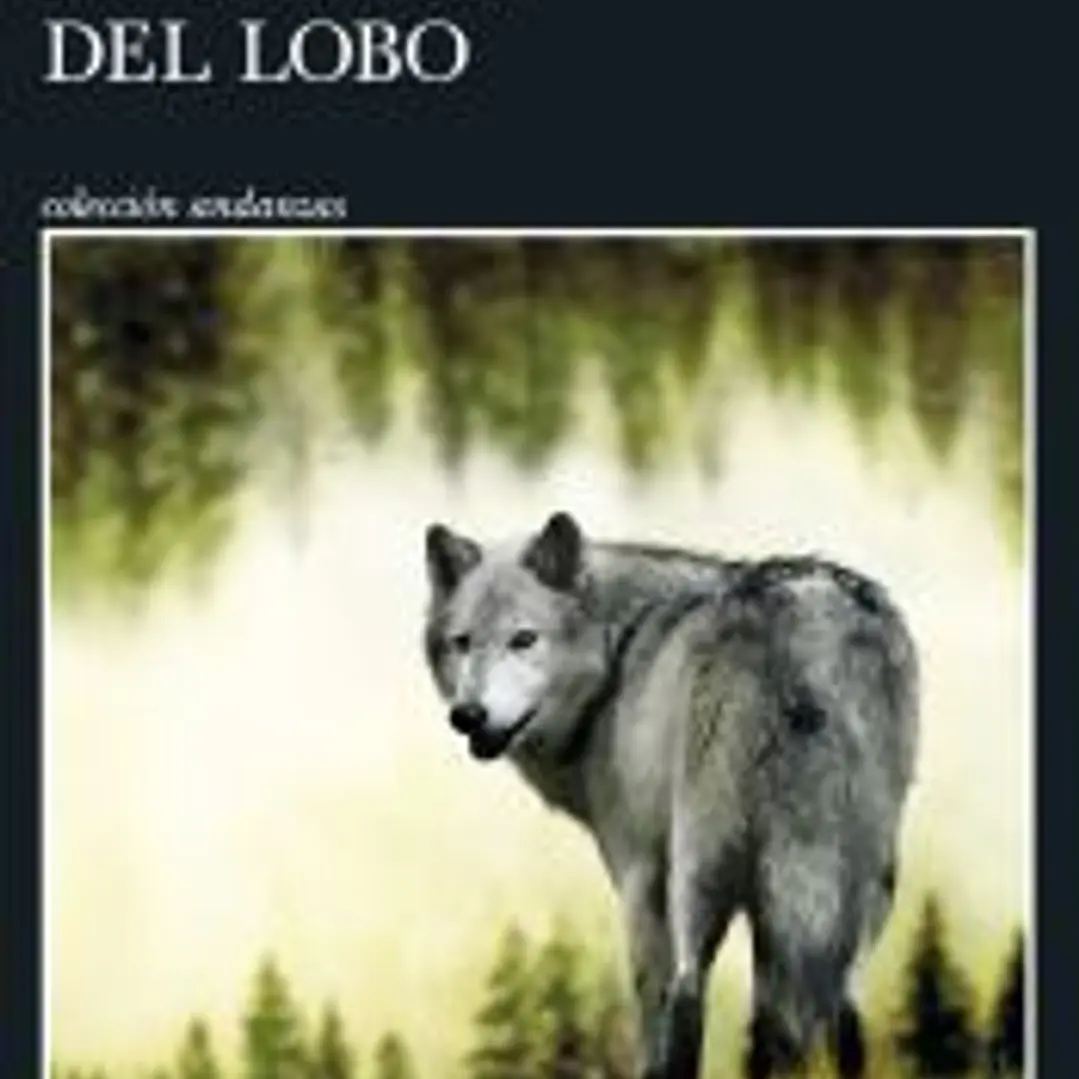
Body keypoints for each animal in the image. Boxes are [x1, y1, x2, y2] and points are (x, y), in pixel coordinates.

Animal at [422, 512, 919, 1079]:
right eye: (461, 642)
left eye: (524, 639)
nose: (467, 715)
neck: (617, 656)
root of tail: (803, 623)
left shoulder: (638, 873)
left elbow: (652, 1005)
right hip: (862, 884)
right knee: (841, 1009)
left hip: (698, 869)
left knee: (689, 990)